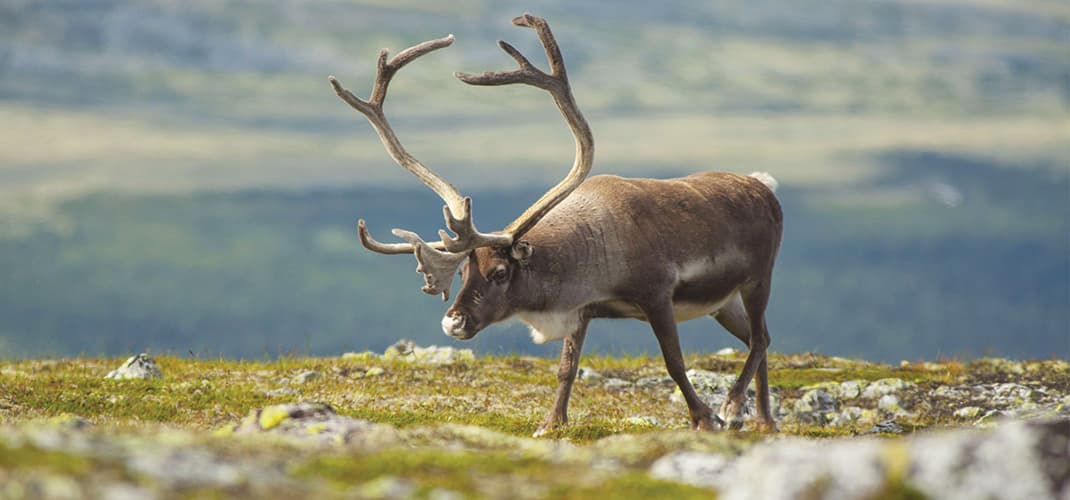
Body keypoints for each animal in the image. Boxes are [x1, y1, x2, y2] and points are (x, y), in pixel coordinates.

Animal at [329, 14, 783, 436]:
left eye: (499, 273)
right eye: (461, 271)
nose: (451, 321)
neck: (594, 250)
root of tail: (764, 186)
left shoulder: (657, 294)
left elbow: (673, 361)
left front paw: (705, 418)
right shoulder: (580, 310)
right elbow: (568, 367)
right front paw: (552, 423)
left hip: (758, 277)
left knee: (760, 338)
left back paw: (734, 407)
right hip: (723, 302)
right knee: (759, 338)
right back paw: (763, 420)